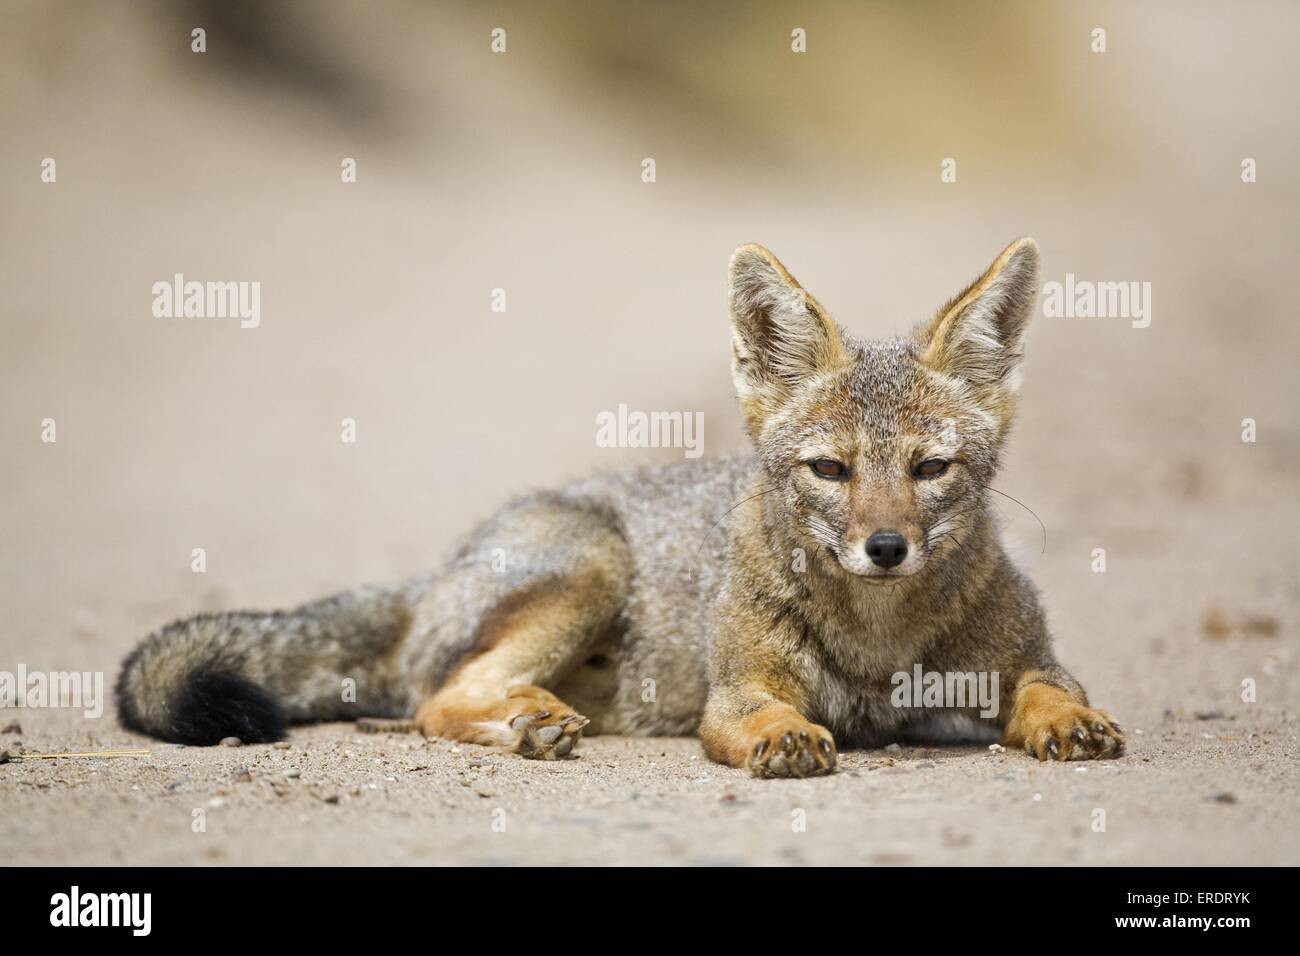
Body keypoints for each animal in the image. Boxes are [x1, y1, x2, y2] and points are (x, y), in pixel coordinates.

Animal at [116, 239, 1123, 780]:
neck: (879, 642)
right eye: (830, 470)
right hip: (591, 571)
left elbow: (1049, 689)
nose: (884, 547)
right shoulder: (737, 690)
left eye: (931, 468)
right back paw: (527, 720)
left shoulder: (1031, 660)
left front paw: (1067, 725)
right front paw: (788, 736)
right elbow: (764, 713)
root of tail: (441, 567)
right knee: (441, 696)